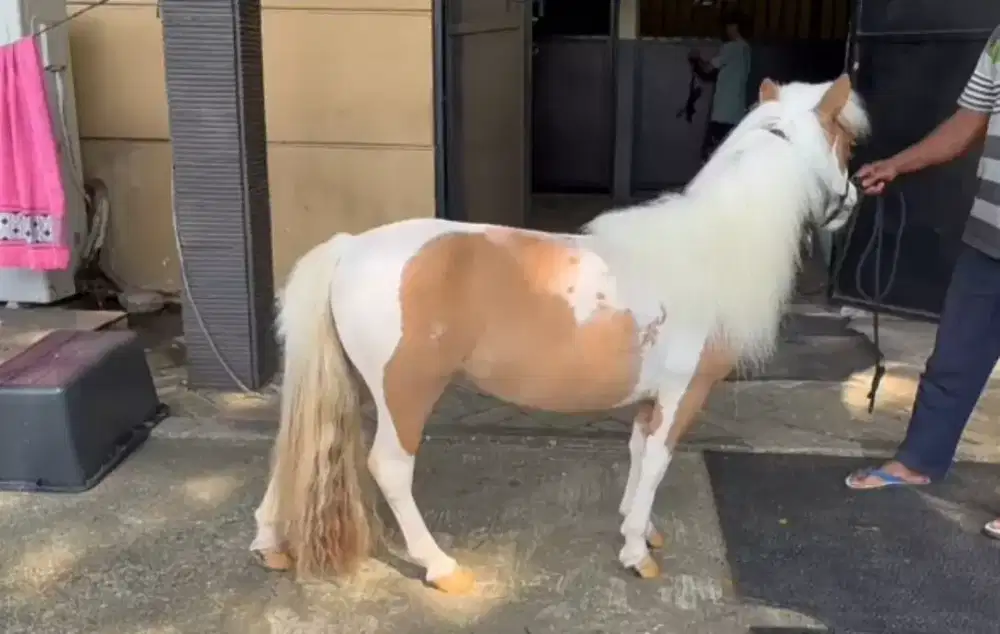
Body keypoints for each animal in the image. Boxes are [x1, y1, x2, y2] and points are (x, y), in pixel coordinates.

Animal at [248, 75, 871, 595]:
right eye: (845, 141)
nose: (855, 202)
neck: (708, 250)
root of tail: (350, 247)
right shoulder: (682, 395)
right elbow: (658, 462)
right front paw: (637, 554)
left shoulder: (650, 399)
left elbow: (639, 454)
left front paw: (639, 528)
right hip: (406, 393)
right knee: (392, 470)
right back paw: (441, 567)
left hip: (354, 385)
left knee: (294, 448)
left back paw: (268, 544)